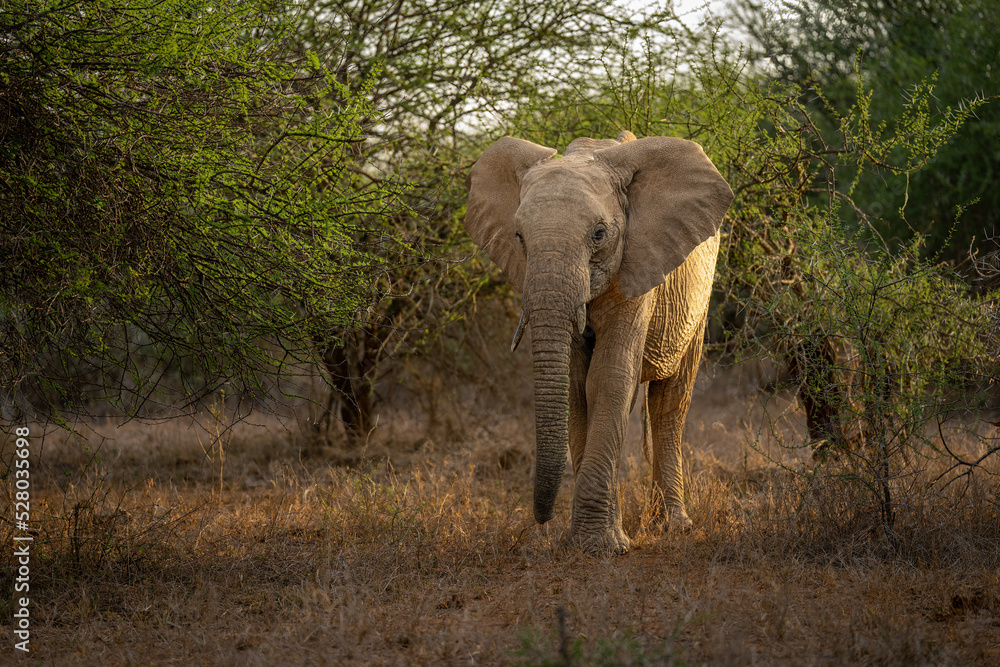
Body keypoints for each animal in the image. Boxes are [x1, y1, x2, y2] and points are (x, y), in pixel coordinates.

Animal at [464, 131, 733, 554]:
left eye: (599, 234)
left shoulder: (637, 261)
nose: (542, 521)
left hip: (700, 296)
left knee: (670, 402)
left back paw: (674, 526)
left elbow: (609, 378)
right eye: (519, 237)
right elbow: (577, 388)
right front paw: (593, 542)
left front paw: (601, 547)